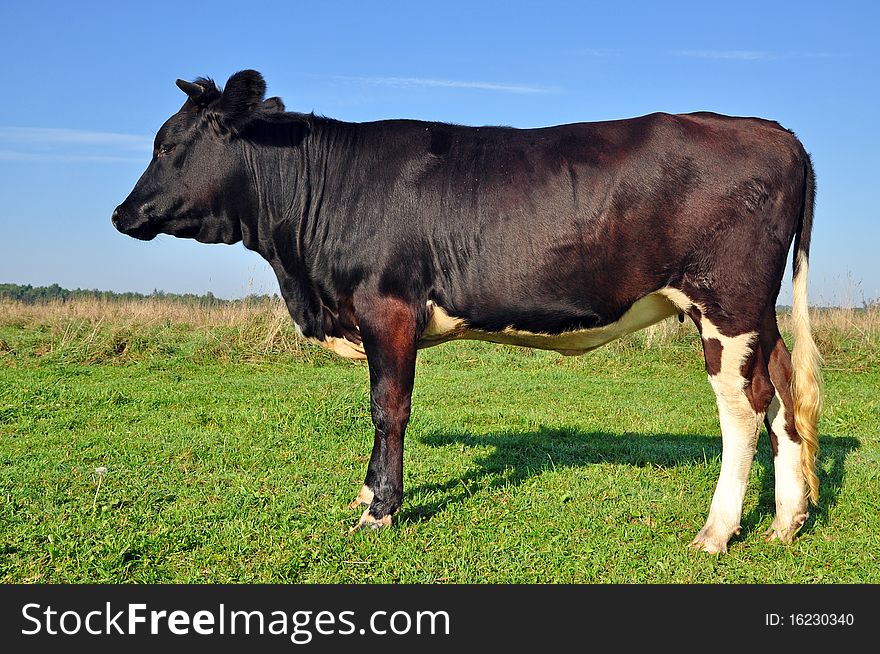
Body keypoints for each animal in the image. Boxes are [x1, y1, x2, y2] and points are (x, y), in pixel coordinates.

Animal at [113, 70, 820, 552]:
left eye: (167, 144)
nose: (121, 213)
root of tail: (771, 130)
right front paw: (367, 494)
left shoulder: (387, 306)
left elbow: (388, 408)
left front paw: (378, 510)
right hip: (755, 313)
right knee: (783, 389)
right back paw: (786, 522)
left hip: (726, 303)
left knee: (743, 408)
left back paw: (717, 531)